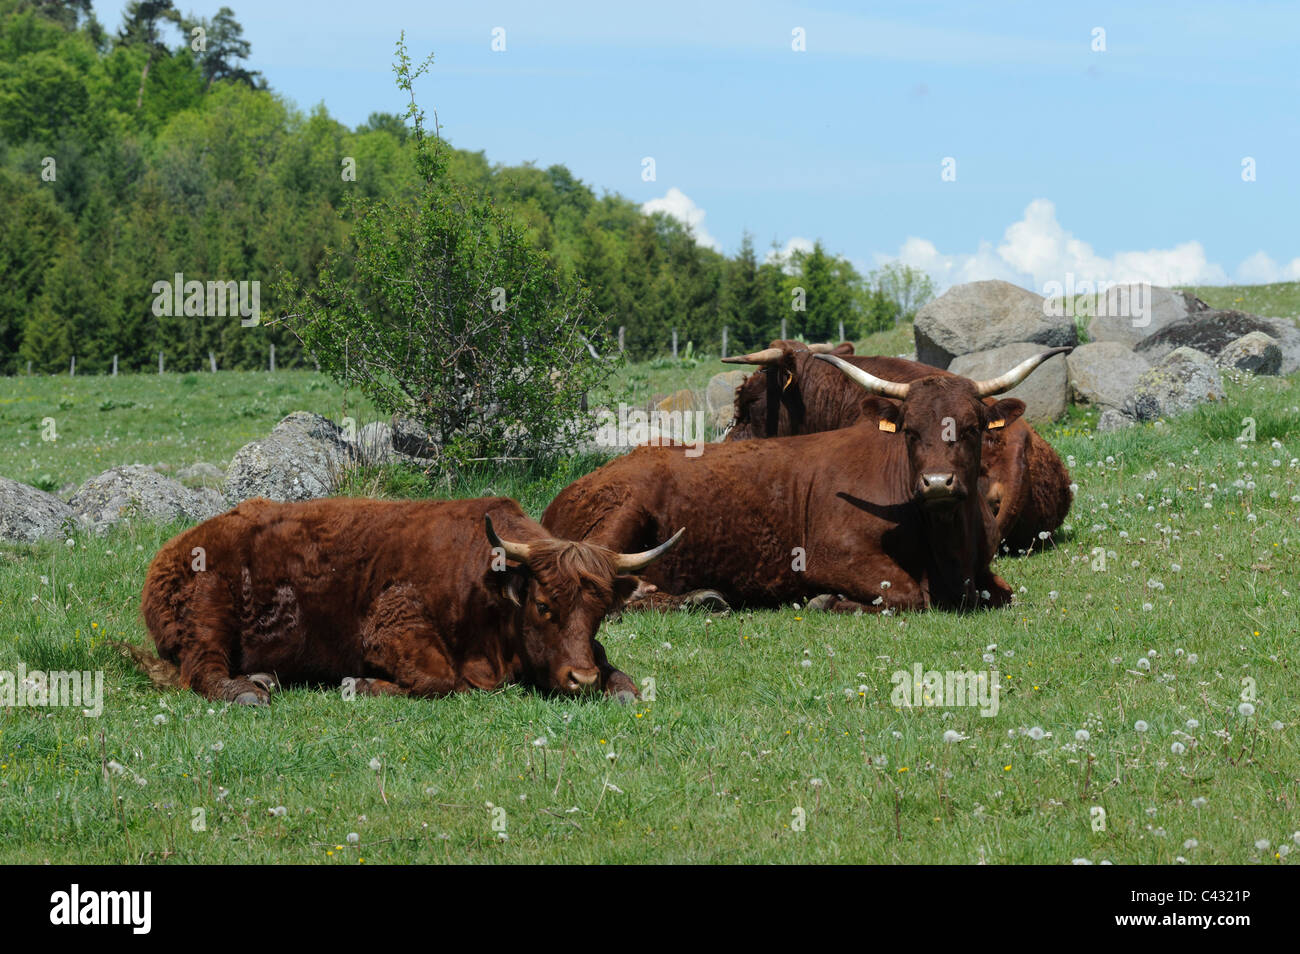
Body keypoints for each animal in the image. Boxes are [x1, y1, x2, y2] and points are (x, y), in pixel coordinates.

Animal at [139, 496, 682, 704]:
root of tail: (176, 547)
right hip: (209, 612)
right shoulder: (392, 629)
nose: (579, 679)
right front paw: (359, 683)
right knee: (204, 670)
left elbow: (621, 676)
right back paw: (246, 690)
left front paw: (614, 683)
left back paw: (259, 676)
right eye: (544, 605)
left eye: (599, 615)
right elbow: (440, 681)